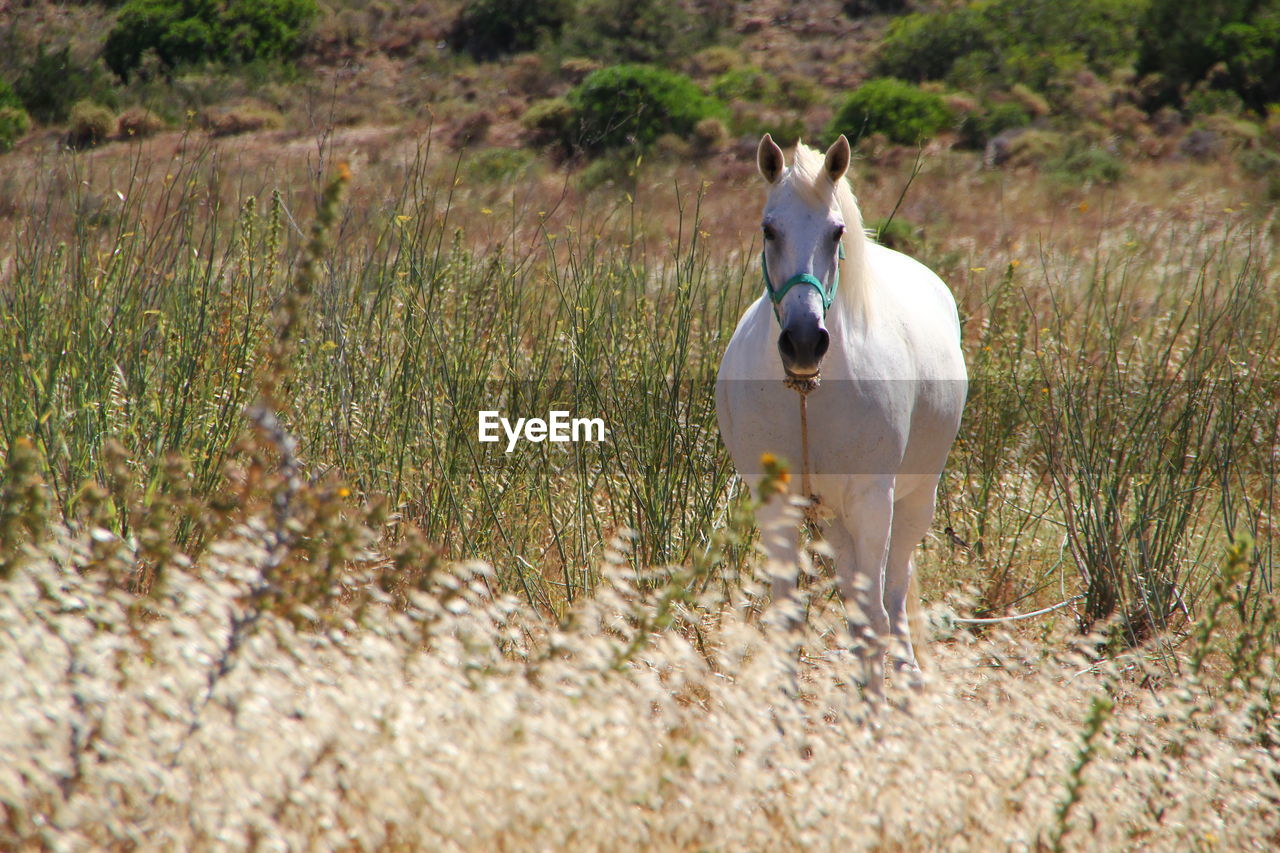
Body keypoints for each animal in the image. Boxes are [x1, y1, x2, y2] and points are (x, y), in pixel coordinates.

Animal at [716, 134, 962, 691]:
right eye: (769, 229)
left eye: (836, 231)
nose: (805, 342)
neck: (808, 395)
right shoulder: (779, 506)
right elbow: (790, 620)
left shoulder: (873, 501)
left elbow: (876, 618)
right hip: (835, 520)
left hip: (913, 502)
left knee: (892, 596)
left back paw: (907, 680)